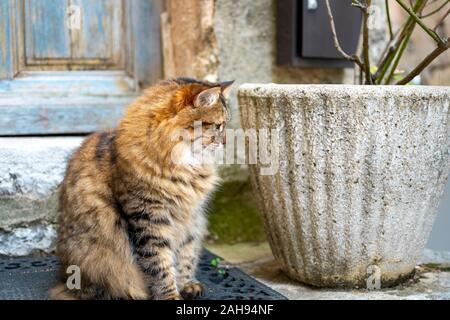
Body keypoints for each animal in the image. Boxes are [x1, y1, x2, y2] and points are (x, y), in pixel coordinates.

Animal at [49, 77, 234, 300]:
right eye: (218, 126)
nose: (226, 143)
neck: (184, 167)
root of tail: (64, 276)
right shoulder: (149, 219)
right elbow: (161, 267)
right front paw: (171, 296)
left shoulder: (190, 218)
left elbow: (185, 256)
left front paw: (187, 284)